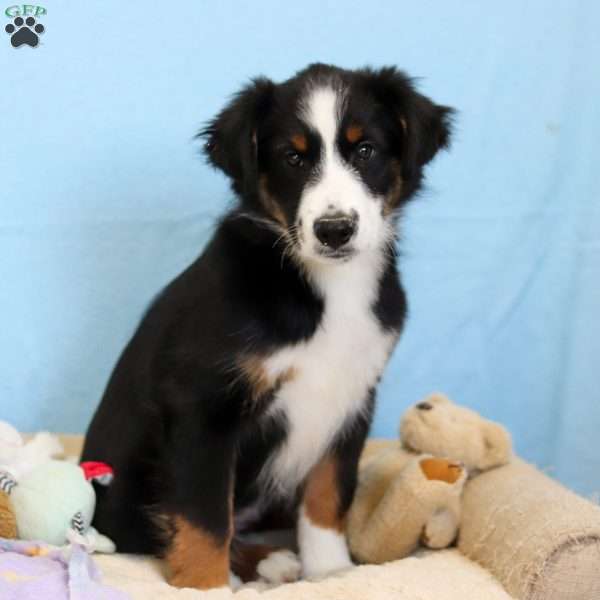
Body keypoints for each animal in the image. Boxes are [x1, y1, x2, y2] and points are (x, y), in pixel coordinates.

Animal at [81, 63, 454, 588]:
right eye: (292, 158)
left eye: (365, 150)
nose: (334, 230)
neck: (327, 288)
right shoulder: (203, 405)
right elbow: (203, 515)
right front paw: (207, 588)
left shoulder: (351, 397)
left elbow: (328, 496)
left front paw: (332, 574)